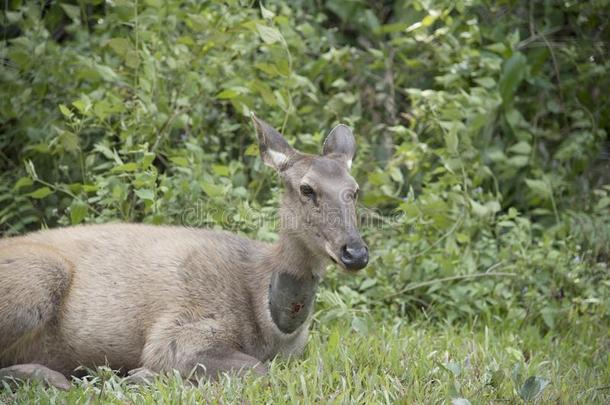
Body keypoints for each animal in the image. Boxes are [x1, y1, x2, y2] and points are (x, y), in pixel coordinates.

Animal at [0, 114, 368, 388]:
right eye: (306, 189)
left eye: (354, 190)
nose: (355, 253)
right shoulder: (180, 330)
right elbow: (259, 370)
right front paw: (143, 375)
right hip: (38, 277)